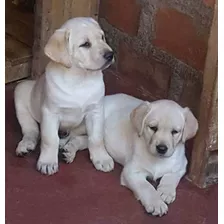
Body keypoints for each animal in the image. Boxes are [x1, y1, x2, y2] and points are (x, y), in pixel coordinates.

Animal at [14, 17, 114, 175]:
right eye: (85, 44)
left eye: (102, 37)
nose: (111, 55)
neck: (79, 79)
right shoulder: (50, 112)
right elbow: (49, 139)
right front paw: (47, 162)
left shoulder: (96, 112)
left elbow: (96, 138)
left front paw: (101, 158)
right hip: (20, 91)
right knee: (32, 130)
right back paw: (26, 145)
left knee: (79, 139)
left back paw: (69, 150)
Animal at [61, 93, 198, 217]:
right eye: (153, 128)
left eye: (175, 132)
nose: (162, 148)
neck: (157, 159)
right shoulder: (131, 172)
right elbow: (146, 187)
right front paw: (156, 203)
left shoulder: (181, 165)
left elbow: (171, 177)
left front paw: (166, 192)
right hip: (87, 125)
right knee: (70, 133)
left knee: (85, 141)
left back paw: (69, 151)